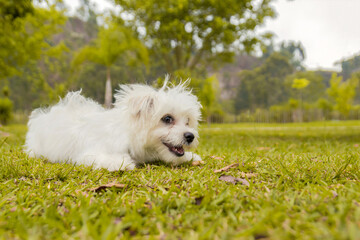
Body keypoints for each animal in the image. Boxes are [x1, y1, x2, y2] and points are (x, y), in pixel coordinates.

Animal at [24, 79, 202, 172]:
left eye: (187, 121)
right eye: (167, 119)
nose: (190, 136)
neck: (129, 136)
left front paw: (190, 156)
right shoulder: (88, 154)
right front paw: (121, 162)